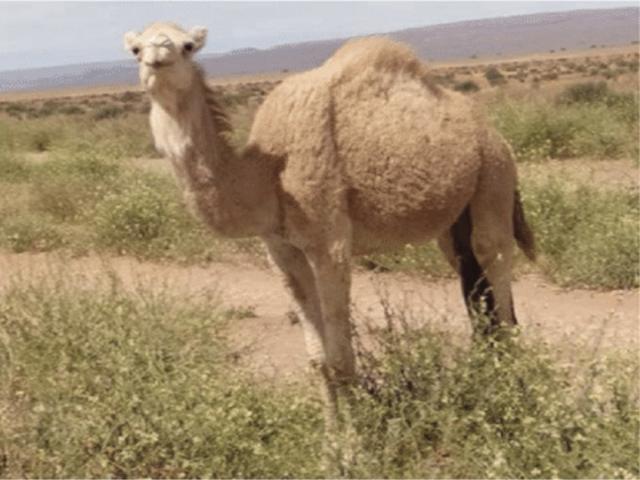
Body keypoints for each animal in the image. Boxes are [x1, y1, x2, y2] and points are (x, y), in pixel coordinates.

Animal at [123, 22, 535, 443]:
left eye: (188, 46)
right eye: (136, 49)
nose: (157, 57)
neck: (267, 175)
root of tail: (493, 132)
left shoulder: (330, 243)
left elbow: (340, 360)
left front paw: (355, 444)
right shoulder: (281, 250)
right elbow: (317, 359)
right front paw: (329, 441)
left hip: (494, 178)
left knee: (495, 272)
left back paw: (514, 396)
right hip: (453, 222)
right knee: (475, 288)